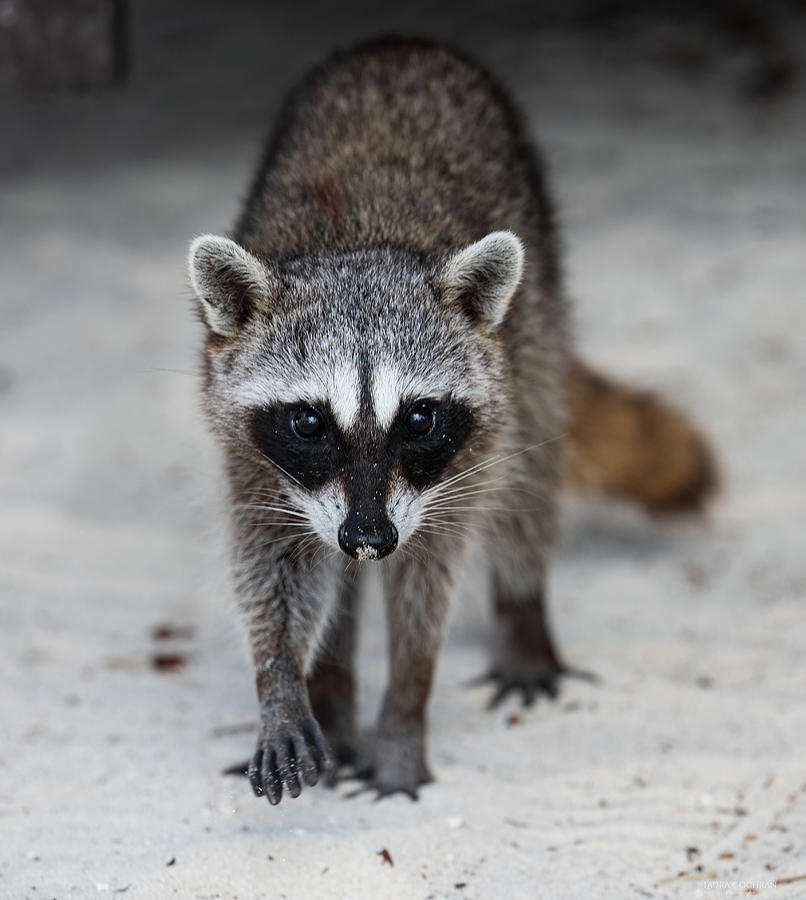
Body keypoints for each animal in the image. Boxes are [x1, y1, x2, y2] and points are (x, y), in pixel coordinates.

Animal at [186, 38, 716, 804]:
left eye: (419, 418)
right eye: (310, 422)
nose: (369, 538)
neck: (359, 244)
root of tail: (398, 45)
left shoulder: (462, 458)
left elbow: (427, 586)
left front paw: (404, 713)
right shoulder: (250, 454)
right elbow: (276, 566)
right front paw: (285, 682)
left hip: (533, 323)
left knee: (529, 483)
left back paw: (522, 617)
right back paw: (334, 690)